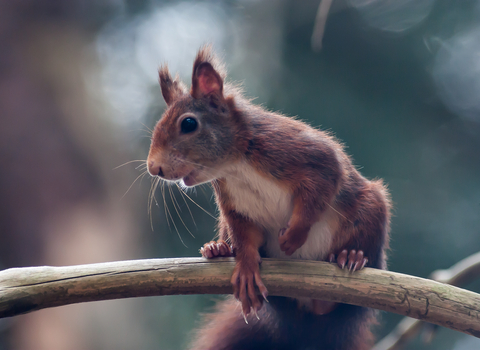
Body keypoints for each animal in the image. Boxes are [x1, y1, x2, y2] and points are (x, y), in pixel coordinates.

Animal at [147, 47, 390, 350]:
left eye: (189, 124)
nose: (153, 167)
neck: (235, 165)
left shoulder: (303, 155)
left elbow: (319, 189)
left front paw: (294, 237)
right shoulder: (234, 207)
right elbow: (245, 237)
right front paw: (247, 267)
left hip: (371, 209)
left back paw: (352, 256)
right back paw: (218, 249)